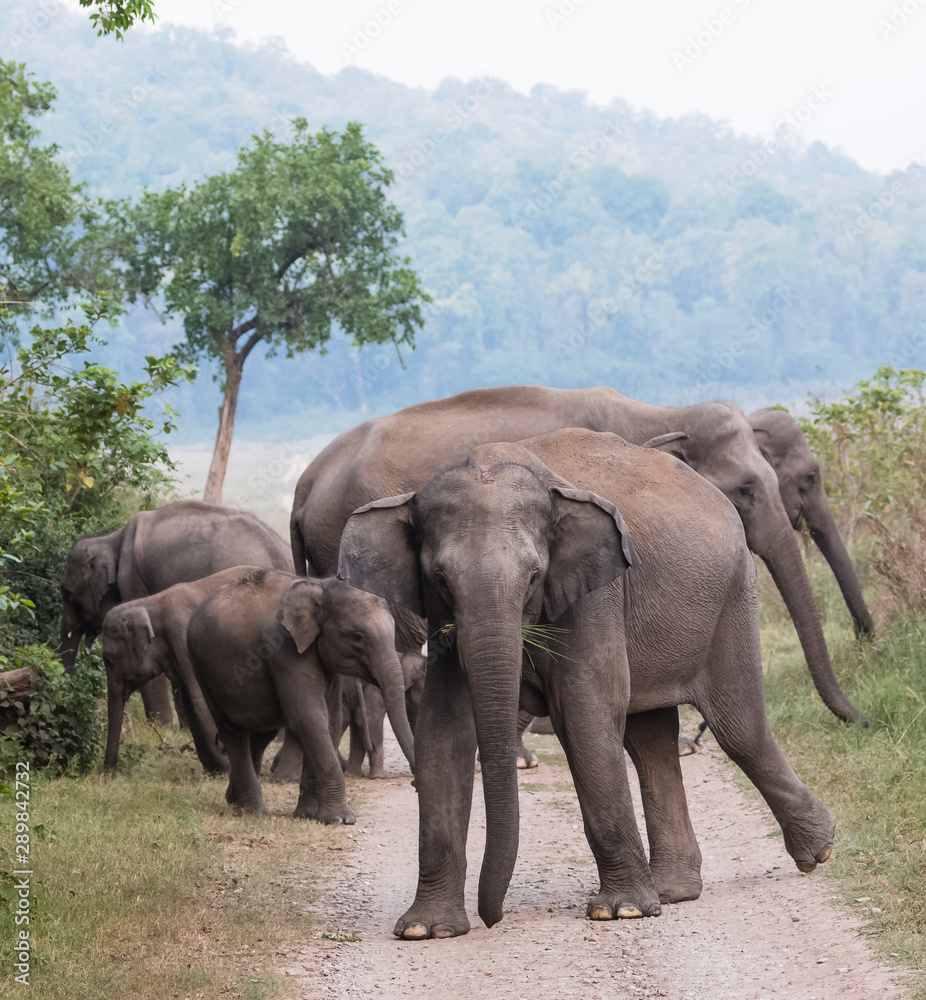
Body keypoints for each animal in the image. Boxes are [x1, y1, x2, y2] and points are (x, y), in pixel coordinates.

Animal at [187, 568, 416, 824]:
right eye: (358, 637)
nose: (414, 784)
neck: (319, 586)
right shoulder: (282, 648)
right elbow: (309, 717)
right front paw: (341, 819)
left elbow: (330, 720)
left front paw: (307, 815)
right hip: (202, 666)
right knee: (232, 732)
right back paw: (253, 810)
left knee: (259, 735)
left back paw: (233, 800)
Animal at [340, 428, 832, 936]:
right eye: (440, 580)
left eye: (534, 576)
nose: (493, 918)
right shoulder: (443, 621)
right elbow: (444, 728)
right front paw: (426, 929)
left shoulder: (595, 593)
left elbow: (584, 712)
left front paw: (621, 911)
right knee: (650, 740)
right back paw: (673, 892)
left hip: (732, 596)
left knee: (739, 729)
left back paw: (817, 852)